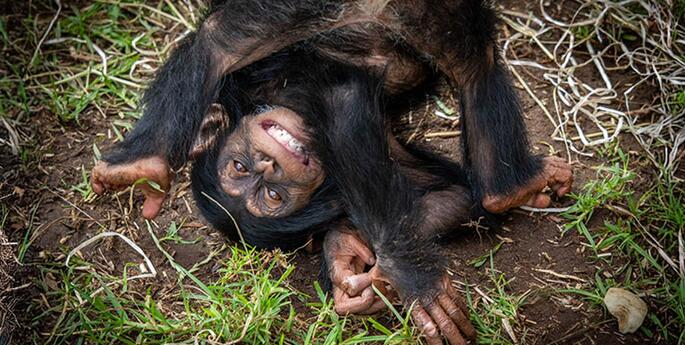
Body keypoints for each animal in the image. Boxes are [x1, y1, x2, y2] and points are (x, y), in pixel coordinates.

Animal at [91, 1, 572, 342]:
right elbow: (457, 197)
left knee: (225, 36)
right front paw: (348, 258)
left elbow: (343, 114)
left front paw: (411, 278)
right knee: (471, 59)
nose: (269, 166)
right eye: (272, 196)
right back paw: (510, 186)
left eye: (242, 168)